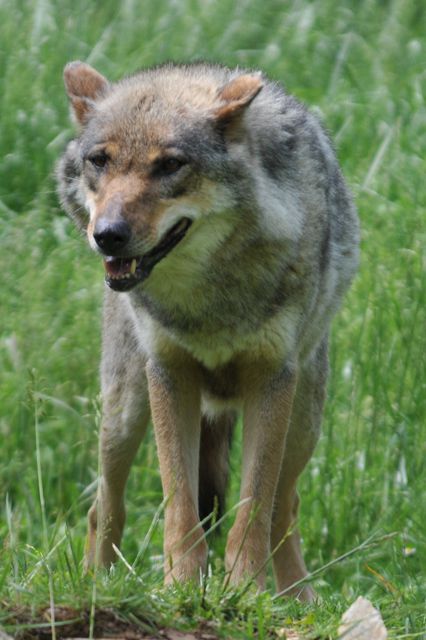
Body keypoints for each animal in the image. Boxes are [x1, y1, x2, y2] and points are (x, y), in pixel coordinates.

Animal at [56, 60, 360, 600]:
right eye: (99, 161)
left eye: (170, 165)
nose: (107, 235)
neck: (208, 299)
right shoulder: (169, 372)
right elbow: (180, 508)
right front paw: (181, 585)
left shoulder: (270, 377)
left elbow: (252, 510)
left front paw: (246, 592)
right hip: (124, 413)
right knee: (104, 507)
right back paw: (98, 586)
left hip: (303, 422)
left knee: (283, 509)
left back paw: (298, 599)